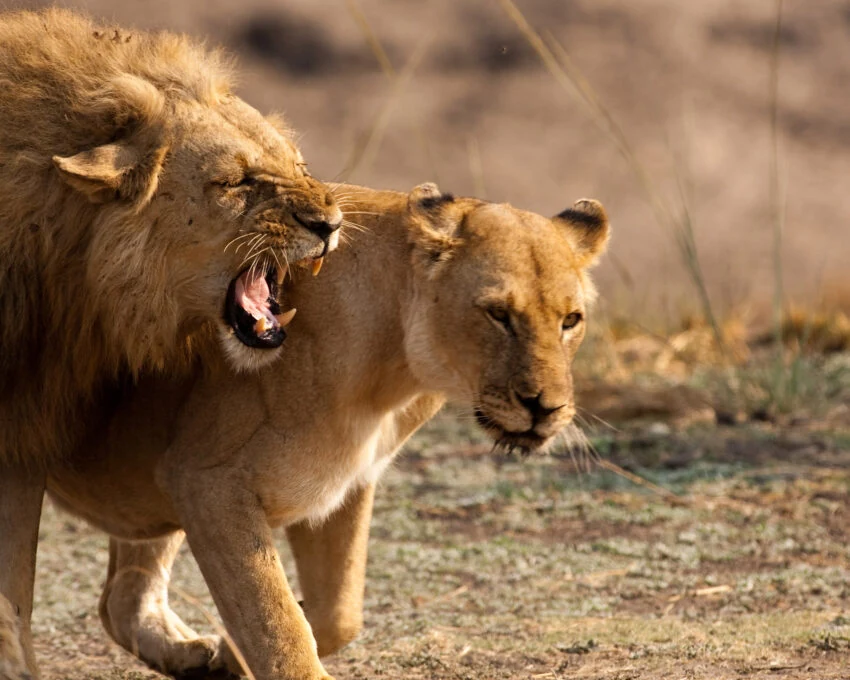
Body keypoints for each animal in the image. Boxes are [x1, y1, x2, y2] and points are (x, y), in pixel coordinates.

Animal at [41, 183, 610, 680]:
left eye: (571, 320)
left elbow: (337, 612)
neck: (390, 373)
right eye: (497, 314)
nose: (545, 407)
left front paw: (231, 652)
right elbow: (277, 621)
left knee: (120, 600)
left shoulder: (346, 481)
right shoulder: (205, 480)